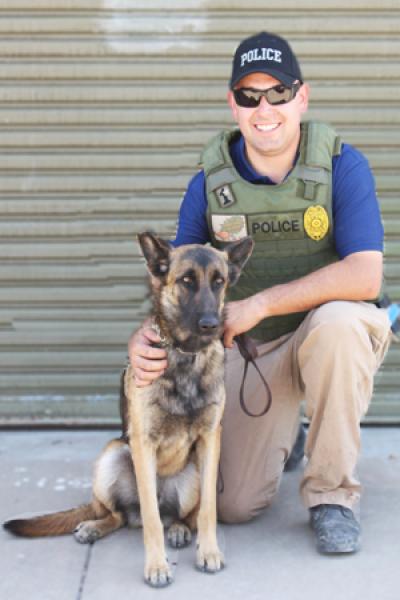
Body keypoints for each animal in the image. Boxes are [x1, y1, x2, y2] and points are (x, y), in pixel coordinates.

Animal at [3, 233, 253, 584]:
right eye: (186, 281)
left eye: (219, 282)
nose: (211, 325)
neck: (185, 356)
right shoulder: (142, 444)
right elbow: (150, 518)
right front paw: (157, 565)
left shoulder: (209, 439)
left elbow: (207, 511)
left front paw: (209, 551)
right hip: (113, 454)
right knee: (122, 515)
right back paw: (95, 526)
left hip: (192, 474)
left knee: (179, 516)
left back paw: (178, 529)